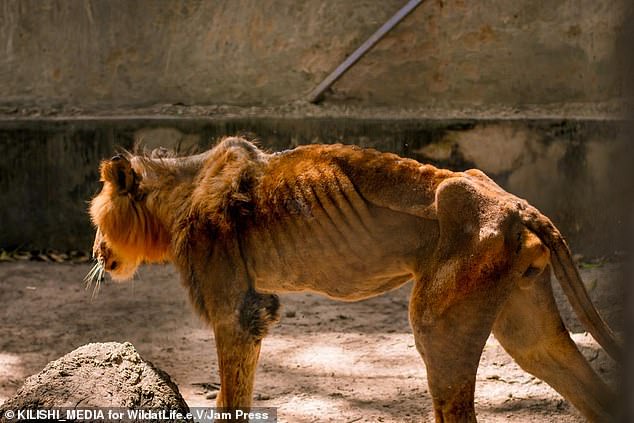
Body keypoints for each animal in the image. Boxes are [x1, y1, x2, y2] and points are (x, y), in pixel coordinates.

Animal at [87, 137, 616, 422]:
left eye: (95, 221)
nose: (95, 252)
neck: (181, 188)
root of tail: (516, 204)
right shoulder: (258, 309)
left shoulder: (235, 311)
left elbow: (231, 398)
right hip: (526, 327)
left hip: (436, 323)